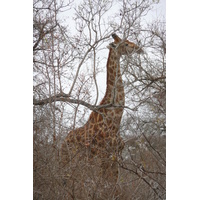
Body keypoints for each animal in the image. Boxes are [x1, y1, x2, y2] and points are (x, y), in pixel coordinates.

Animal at [60, 32, 143, 197]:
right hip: (71, 161)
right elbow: (105, 187)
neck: (115, 120)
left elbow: (114, 187)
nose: (138, 48)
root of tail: (63, 141)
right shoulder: (103, 156)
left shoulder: (116, 156)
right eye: (125, 44)